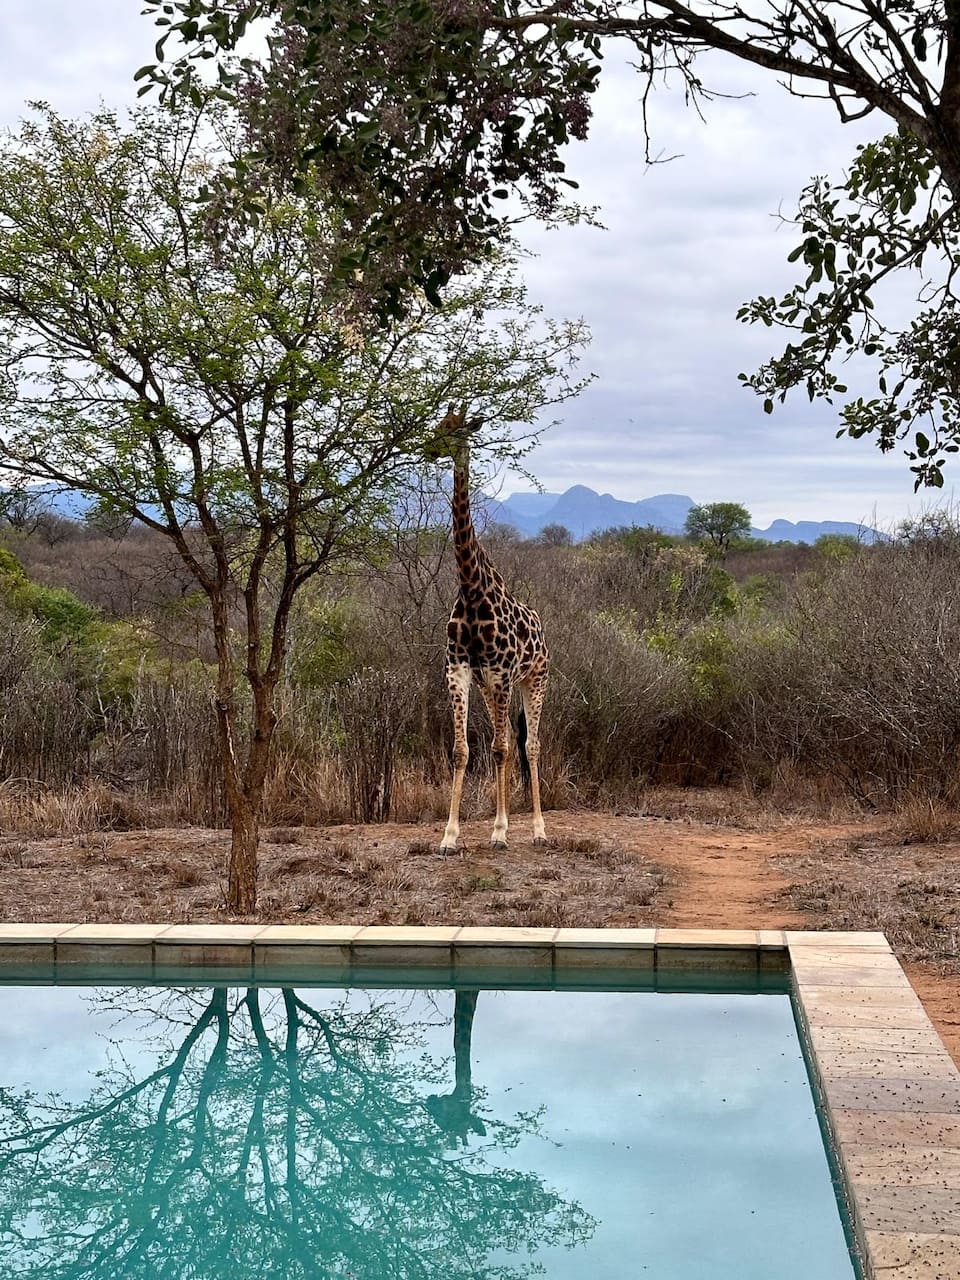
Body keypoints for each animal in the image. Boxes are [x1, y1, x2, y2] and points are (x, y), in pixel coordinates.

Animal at [425, 404, 549, 854]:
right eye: (438, 424)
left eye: (455, 429)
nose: (429, 448)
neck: (472, 587)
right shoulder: (459, 671)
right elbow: (462, 750)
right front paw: (449, 836)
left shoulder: (500, 674)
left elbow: (499, 749)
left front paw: (499, 831)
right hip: (492, 686)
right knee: (510, 741)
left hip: (533, 678)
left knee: (528, 745)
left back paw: (537, 829)